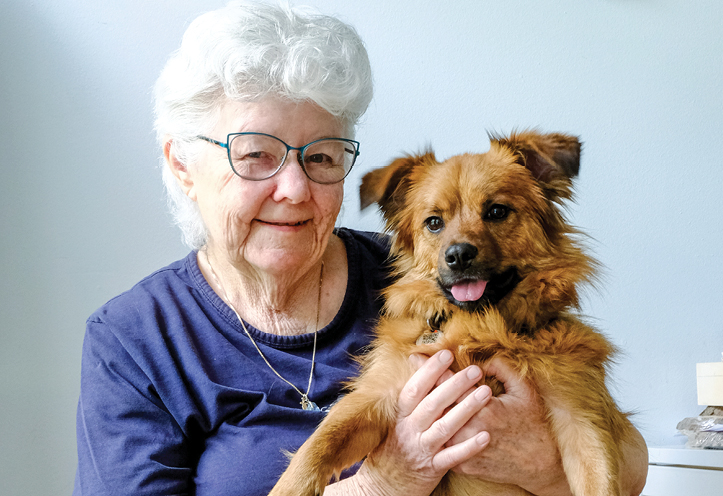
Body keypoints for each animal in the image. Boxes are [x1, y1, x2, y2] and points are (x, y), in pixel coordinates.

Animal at [270, 131, 632, 496]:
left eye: (497, 211)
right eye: (434, 223)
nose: (458, 255)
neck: (480, 326)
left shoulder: (581, 417)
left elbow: (600, 481)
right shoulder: (378, 395)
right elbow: (320, 444)